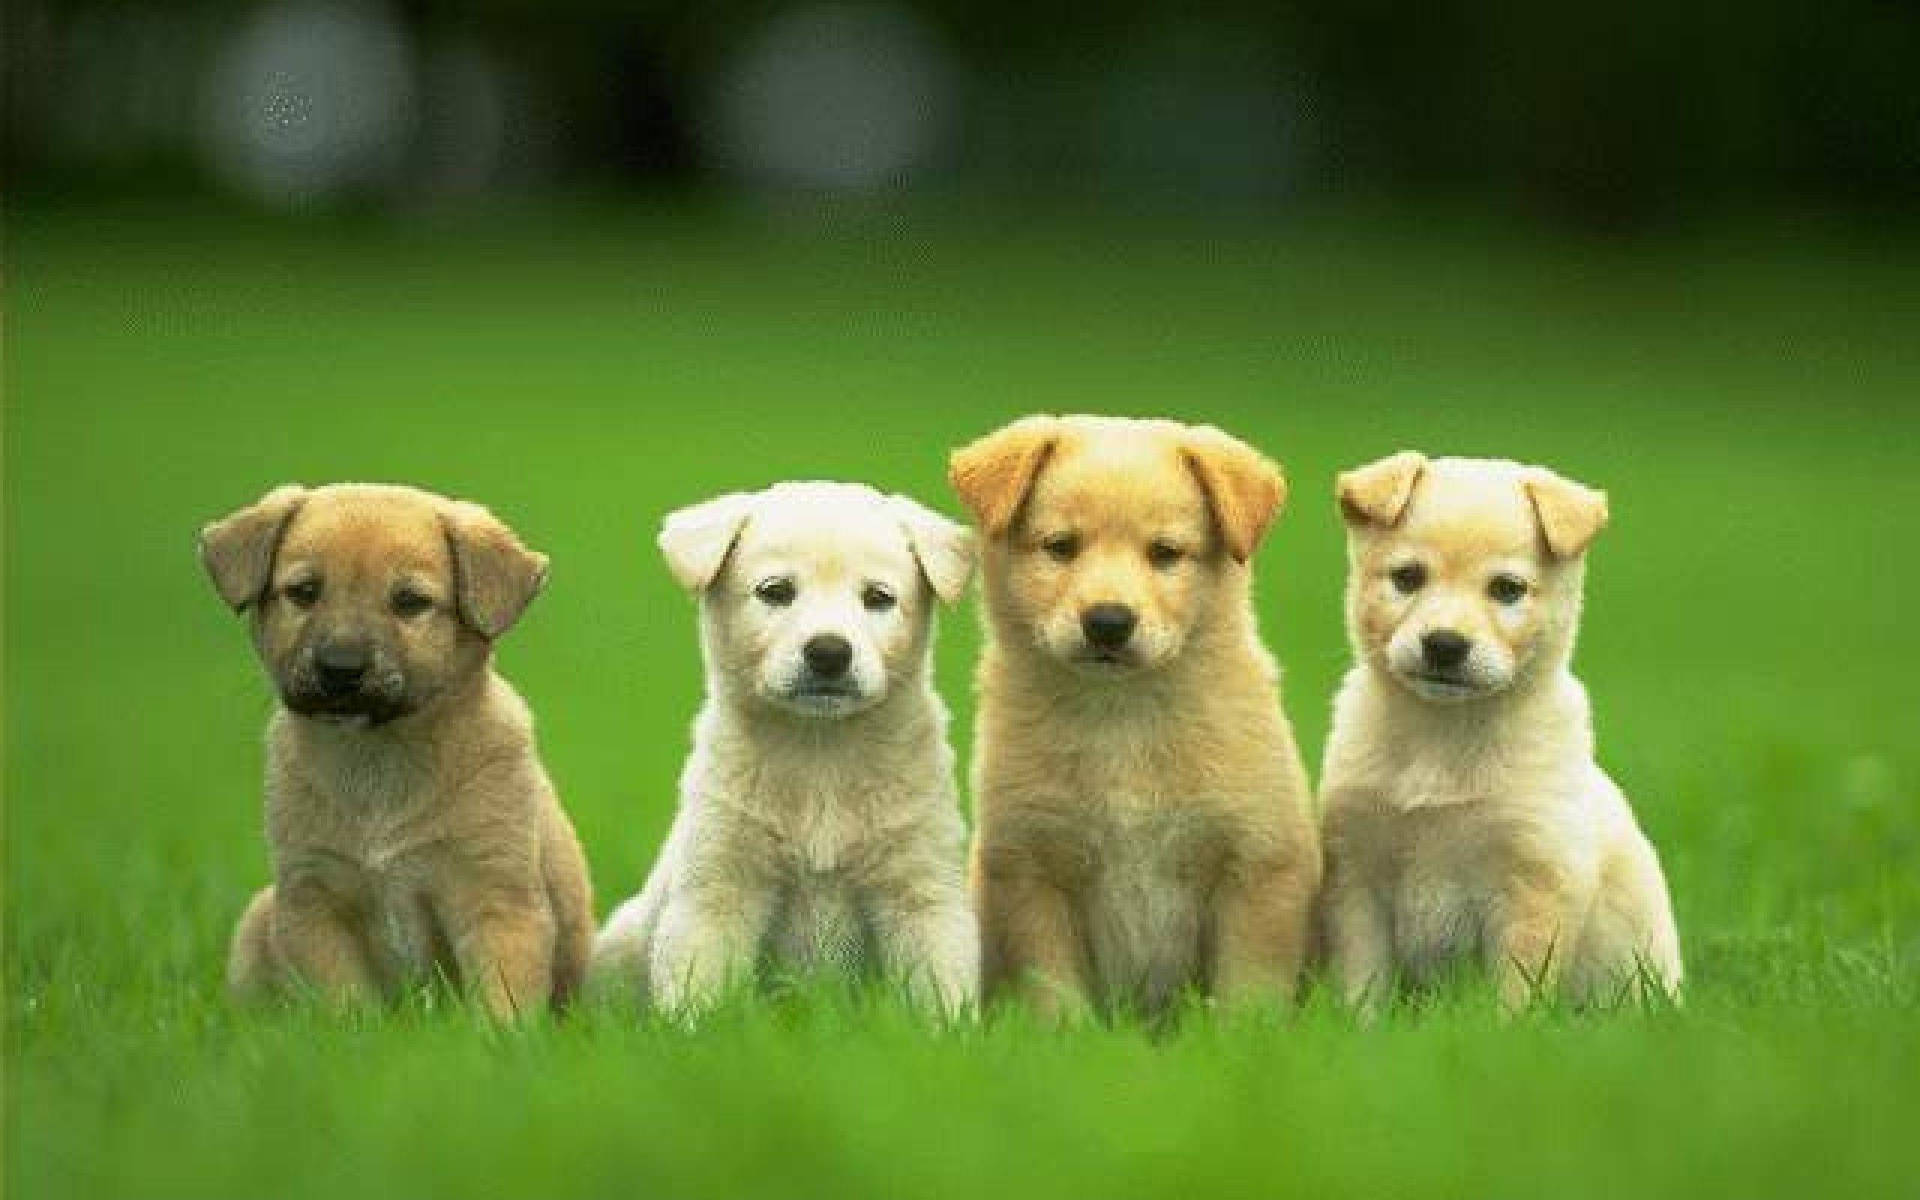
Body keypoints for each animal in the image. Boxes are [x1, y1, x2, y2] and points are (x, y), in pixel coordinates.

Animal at [201, 481, 591, 1013]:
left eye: (409, 602)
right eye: (304, 592)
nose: (340, 668)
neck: (378, 757)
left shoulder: (497, 897)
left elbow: (501, 1004)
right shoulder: (314, 900)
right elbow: (345, 1005)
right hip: (259, 918)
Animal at [591, 481, 983, 1013]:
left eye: (878, 597)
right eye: (775, 591)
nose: (829, 652)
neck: (820, 751)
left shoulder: (922, 886)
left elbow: (939, 991)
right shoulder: (717, 884)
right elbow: (699, 988)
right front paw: (698, 1030)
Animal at [948, 414, 1320, 1021]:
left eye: (1165, 552)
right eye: (1061, 547)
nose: (1107, 622)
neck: (1121, 719)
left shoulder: (1258, 866)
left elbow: (1248, 994)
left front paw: (1244, 1037)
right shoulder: (1029, 868)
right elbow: (1054, 995)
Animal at [1320, 449, 1681, 1013]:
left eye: (1507, 590)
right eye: (1407, 577)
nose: (1444, 645)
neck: (1444, 738)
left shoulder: (1532, 887)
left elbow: (1513, 997)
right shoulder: (1356, 878)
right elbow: (1363, 985)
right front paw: (1359, 1028)